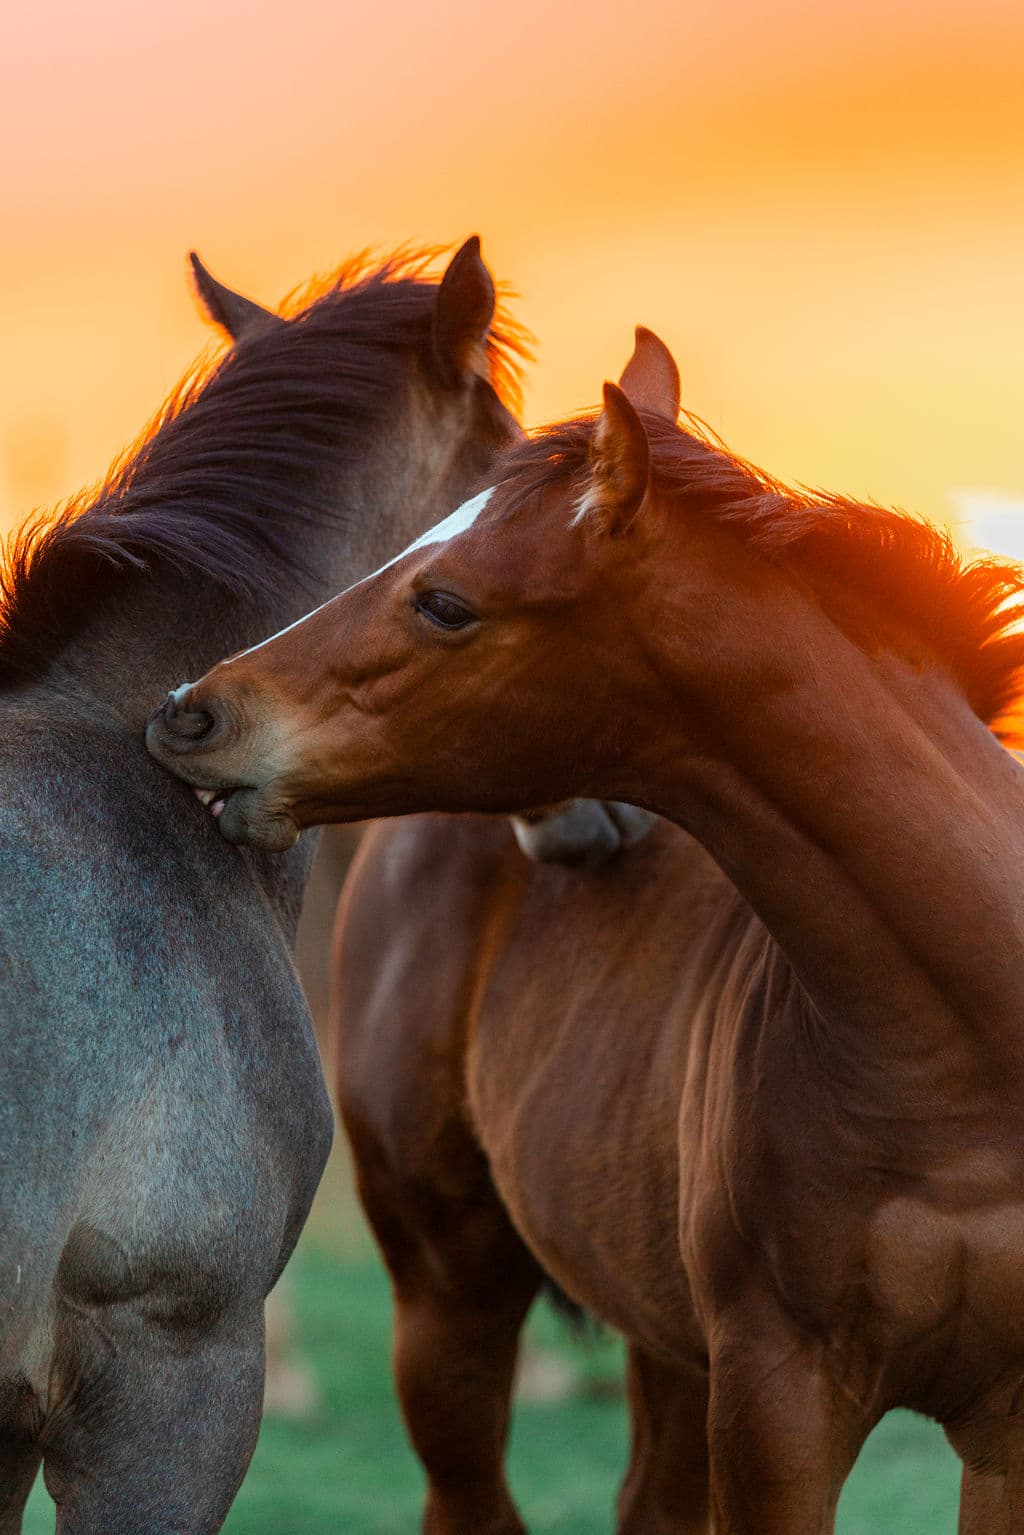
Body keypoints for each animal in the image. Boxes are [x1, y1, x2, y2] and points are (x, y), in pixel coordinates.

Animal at [147, 328, 1024, 1534]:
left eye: (445, 603)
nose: (193, 712)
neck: (963, 1065)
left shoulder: (996, 1428)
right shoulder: (779, 1398)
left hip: (666, 1343)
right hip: (452, 1297)